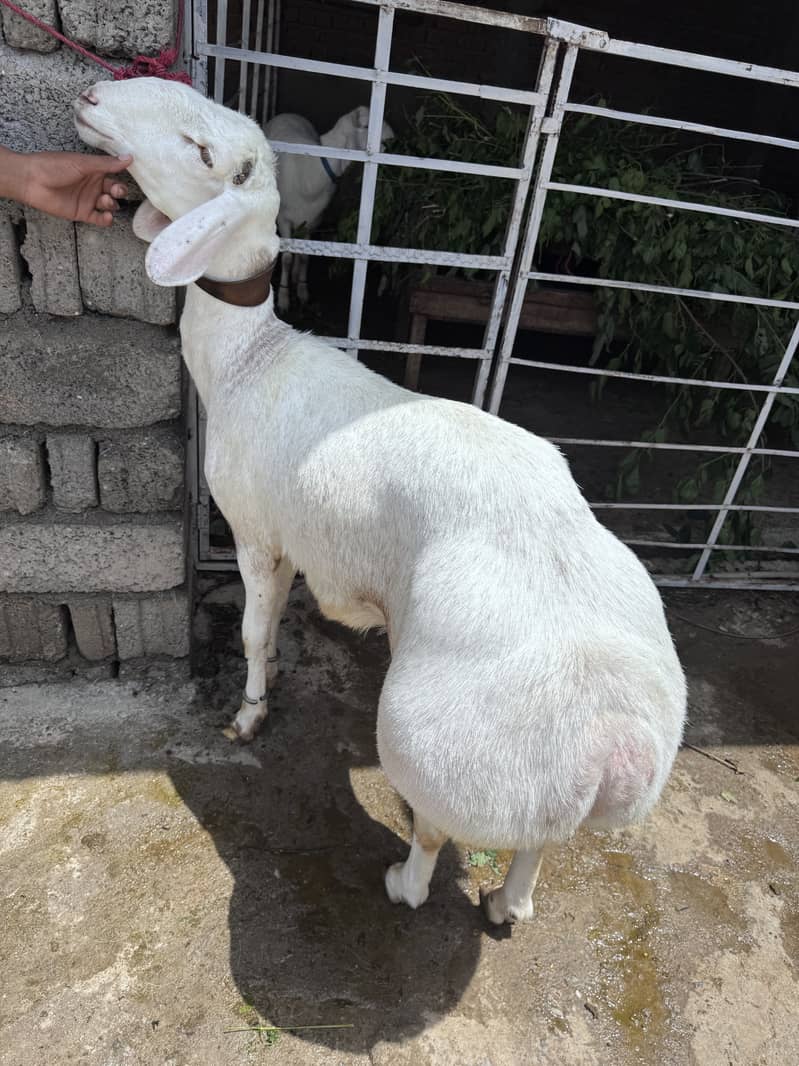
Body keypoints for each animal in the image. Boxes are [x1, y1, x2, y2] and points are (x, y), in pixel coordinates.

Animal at [264, 106, 394, 313]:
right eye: (366, 126)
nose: (393, 140)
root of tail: (289, 114)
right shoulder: (283, 219)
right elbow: (287, 258)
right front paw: (283, 299)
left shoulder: (313, 221)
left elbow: (304, 257)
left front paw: (302, 291)